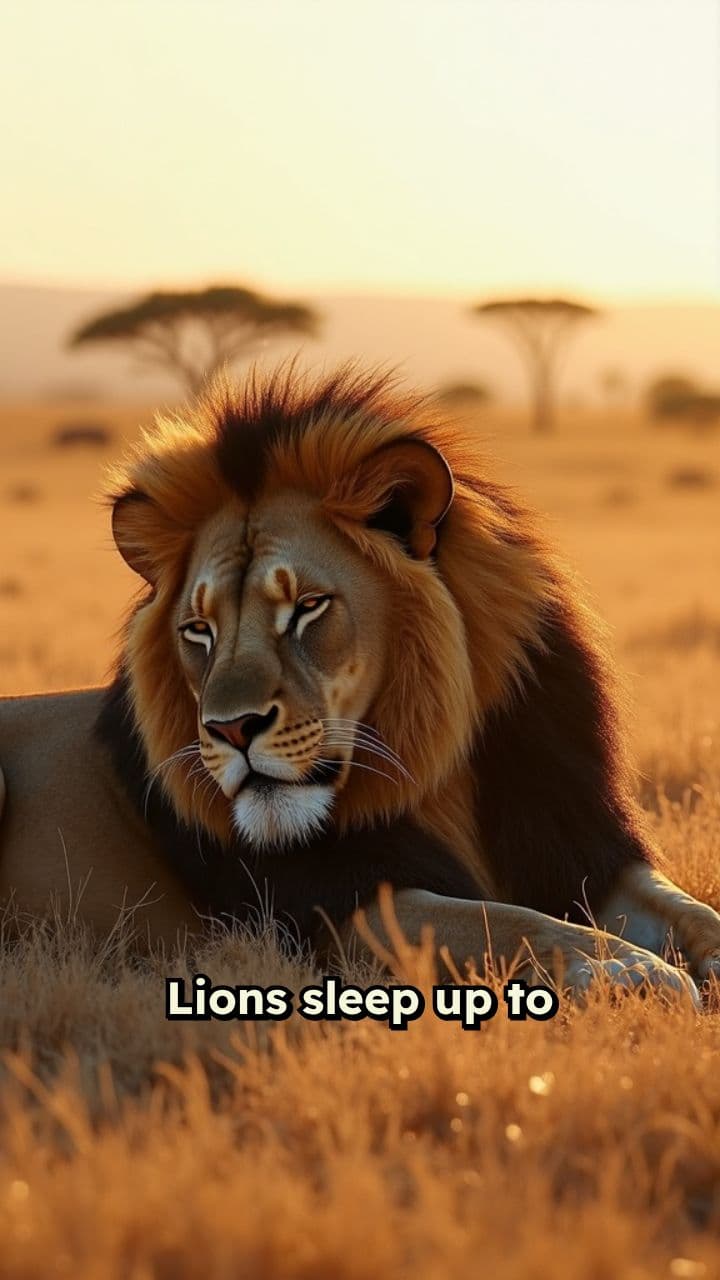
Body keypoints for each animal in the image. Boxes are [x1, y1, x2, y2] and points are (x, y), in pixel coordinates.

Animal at [1, 364, 718, 1000]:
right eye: (198, 630)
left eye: (308, 607)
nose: (231, 729)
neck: (436, 771)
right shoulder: (330, 911)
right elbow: (504, 919)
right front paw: (627, 969)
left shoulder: (577, 846)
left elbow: (690, 909)